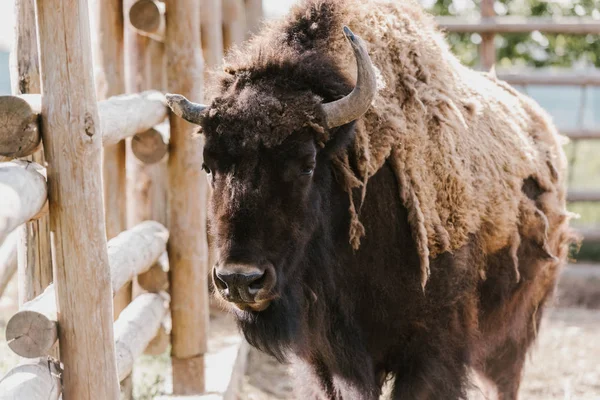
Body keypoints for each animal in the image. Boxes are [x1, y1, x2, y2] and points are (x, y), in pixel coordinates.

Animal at [166, 0, 568, 398]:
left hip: (516, 329)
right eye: (208, 165)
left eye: (307, 164)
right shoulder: (326, 358)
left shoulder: (431, 349)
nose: (239, 279)